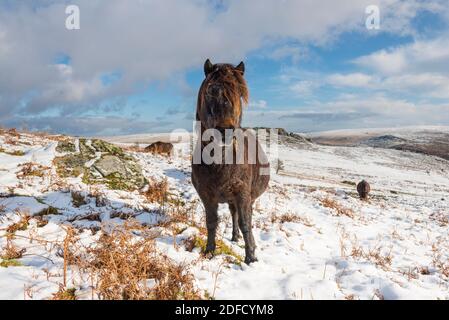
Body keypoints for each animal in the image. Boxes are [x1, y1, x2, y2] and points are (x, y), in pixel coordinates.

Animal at [190, 58, 268, 264]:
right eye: (210, 91)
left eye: (239, 93)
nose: (225, 131)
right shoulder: (206, 195)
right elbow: (211, 222)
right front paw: (209, 251)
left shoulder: (242, 194)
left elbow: (245, 223)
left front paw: (251, 258)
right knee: (233, 214)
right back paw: (234, 237)